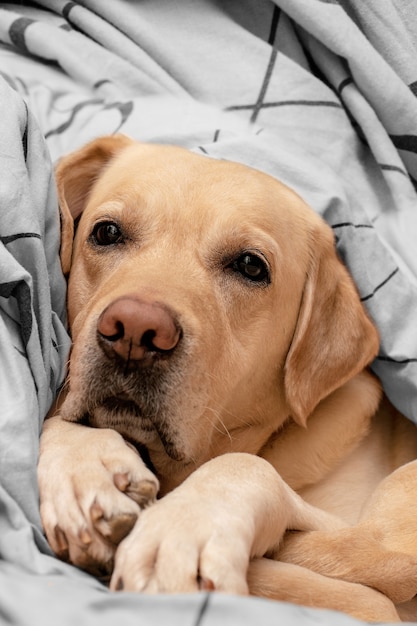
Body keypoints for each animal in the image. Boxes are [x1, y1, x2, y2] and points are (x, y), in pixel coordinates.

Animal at [36, 135, 417, 620]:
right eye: (106, 233)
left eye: (251, 266)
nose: (135, 332)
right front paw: (84, 470)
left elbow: (245, 467)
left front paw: (183, 530)